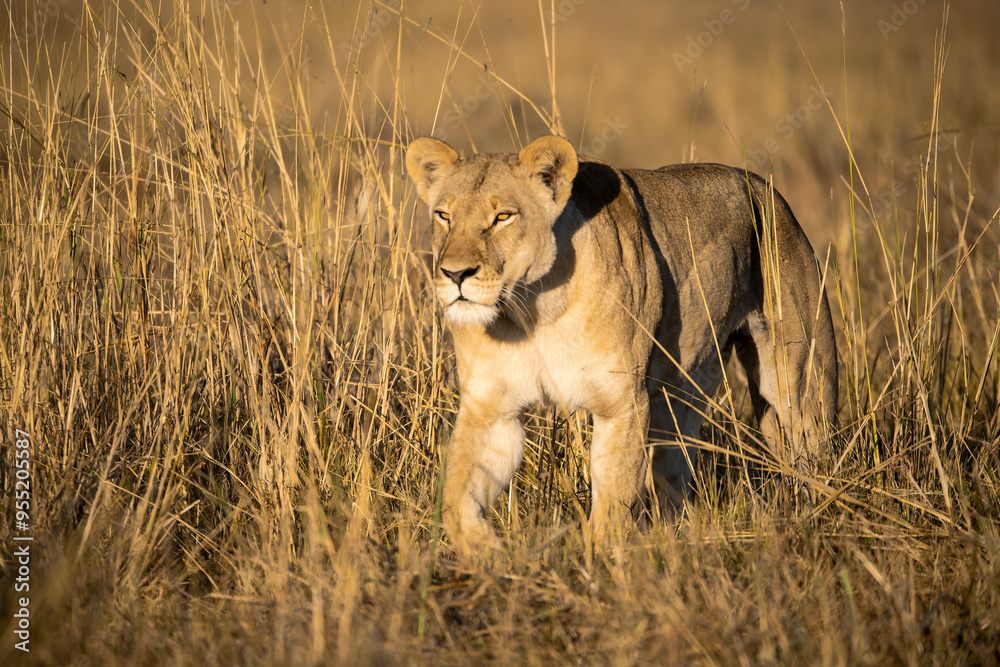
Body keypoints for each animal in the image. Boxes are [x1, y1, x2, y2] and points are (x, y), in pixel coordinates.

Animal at [405, 135, 838, 553]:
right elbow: (457, 499)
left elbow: (613, 505)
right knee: (673, 475)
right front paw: (490, 556)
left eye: (502, 217)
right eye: (444, 216)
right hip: (684, 390)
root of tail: (768, 190)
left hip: (800, 379)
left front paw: (601, 565)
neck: (530, 311)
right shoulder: (492, 410)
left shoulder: (621, 402)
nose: (454, 274)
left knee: (814, 450)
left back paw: (822, 517)